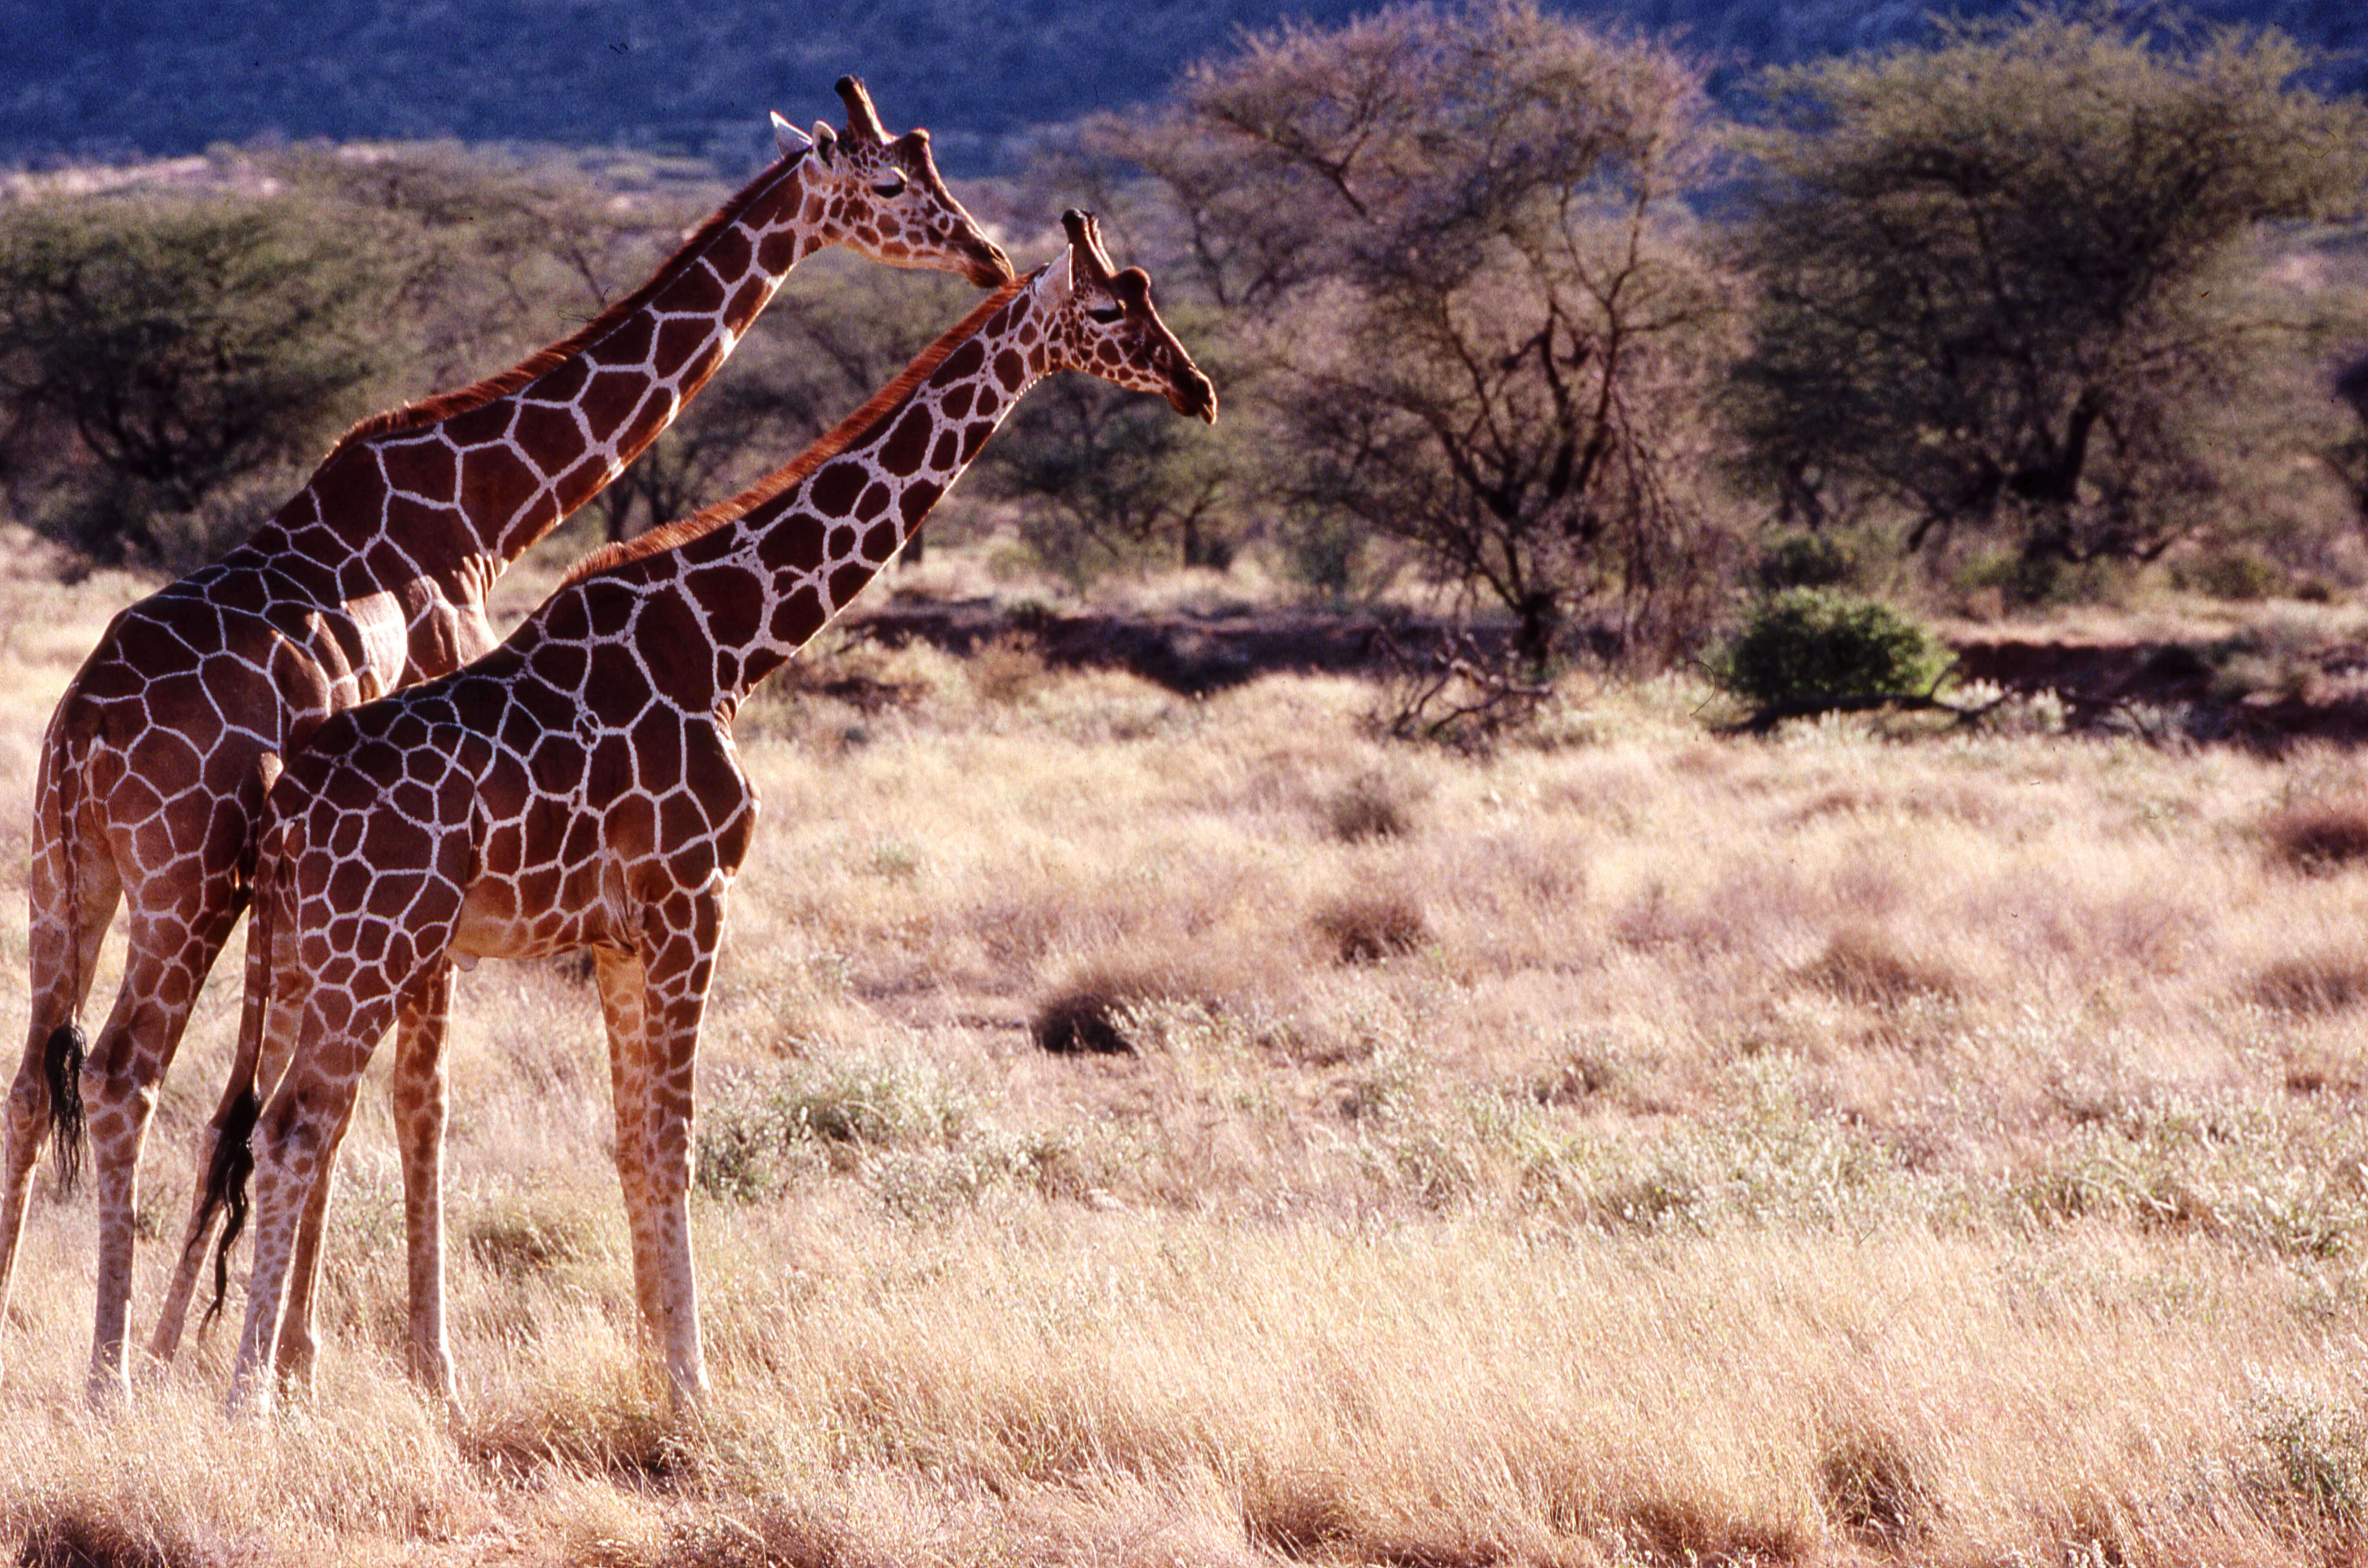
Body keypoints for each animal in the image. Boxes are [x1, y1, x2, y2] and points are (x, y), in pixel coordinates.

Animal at [0, 83, 1009, 1412]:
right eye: (893, 187)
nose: (987, 252)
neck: (486, 505)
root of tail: (81, 733)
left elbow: (343, 1101)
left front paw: (293, 1356)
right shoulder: (426, 871)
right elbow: (411, 1100)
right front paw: (407, 1366)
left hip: (70, 876)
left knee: (34, 1073)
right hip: (188, 881)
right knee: (123, 1076)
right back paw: (110, 1370)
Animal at [185, 215, 1212, 1421]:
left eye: (1147, 296)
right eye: (1107, 311)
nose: (1197, 388)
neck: (728, 642)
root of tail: (283, 804)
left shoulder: (619, 934)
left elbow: (632, 1143)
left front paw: (652, 1369)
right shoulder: (692, 901)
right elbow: (677, 1144)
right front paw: (693, 1387)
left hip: (311, 951)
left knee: (265, 1127)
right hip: (373, 947)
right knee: (296, 1128)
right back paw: (248, 1401)